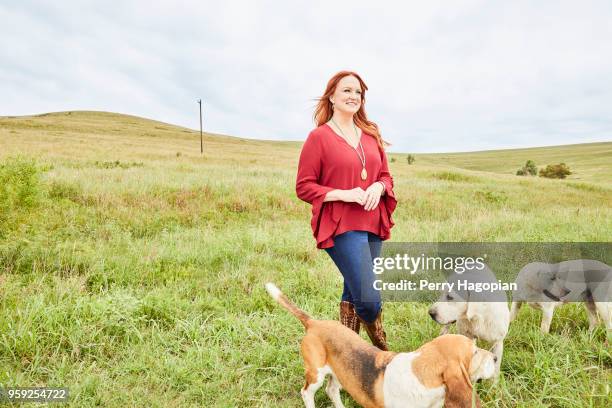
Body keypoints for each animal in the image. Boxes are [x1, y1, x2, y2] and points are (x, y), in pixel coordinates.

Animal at [266, 284, 494, 408]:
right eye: (474, 352)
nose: (495, 358)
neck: (422, 376)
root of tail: (314, 323)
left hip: (340, 372)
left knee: (332, 390)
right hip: (316, 374)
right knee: (307, 393)